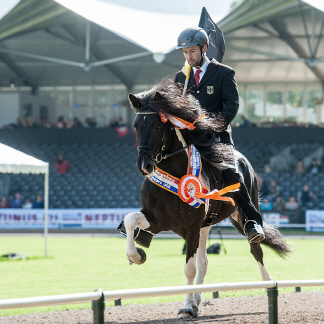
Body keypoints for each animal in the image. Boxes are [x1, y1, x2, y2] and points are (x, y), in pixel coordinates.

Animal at [119, 77, 292, 318]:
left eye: (157, 125)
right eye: (135, 126)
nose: (144, 166)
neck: (174, 171)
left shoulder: (191, 228)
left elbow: (189, 269)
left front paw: (185, 306)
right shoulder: (157, 220)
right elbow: (129, 219)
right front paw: (137, 255)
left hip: (241, 218)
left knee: (255, 248)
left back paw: (268, 284)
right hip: (205, 227)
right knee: (205, 261)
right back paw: (197, 301)